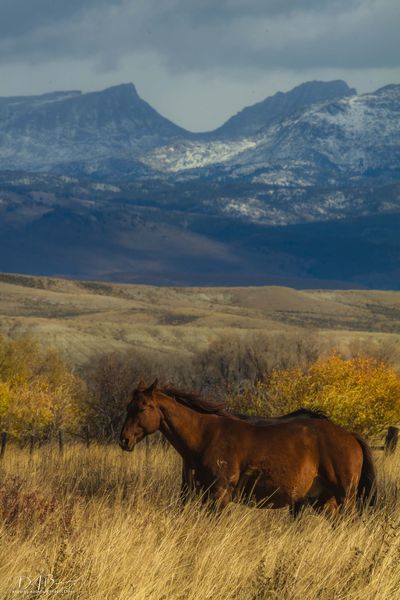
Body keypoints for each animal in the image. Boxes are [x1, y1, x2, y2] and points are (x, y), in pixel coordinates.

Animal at [119, 382, 376, 512]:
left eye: (142, 407)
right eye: (128, 406)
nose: (124, 440)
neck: (206, 436)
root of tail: (350, 436)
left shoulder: (219, 494)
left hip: (344, 497)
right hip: (325, 501)